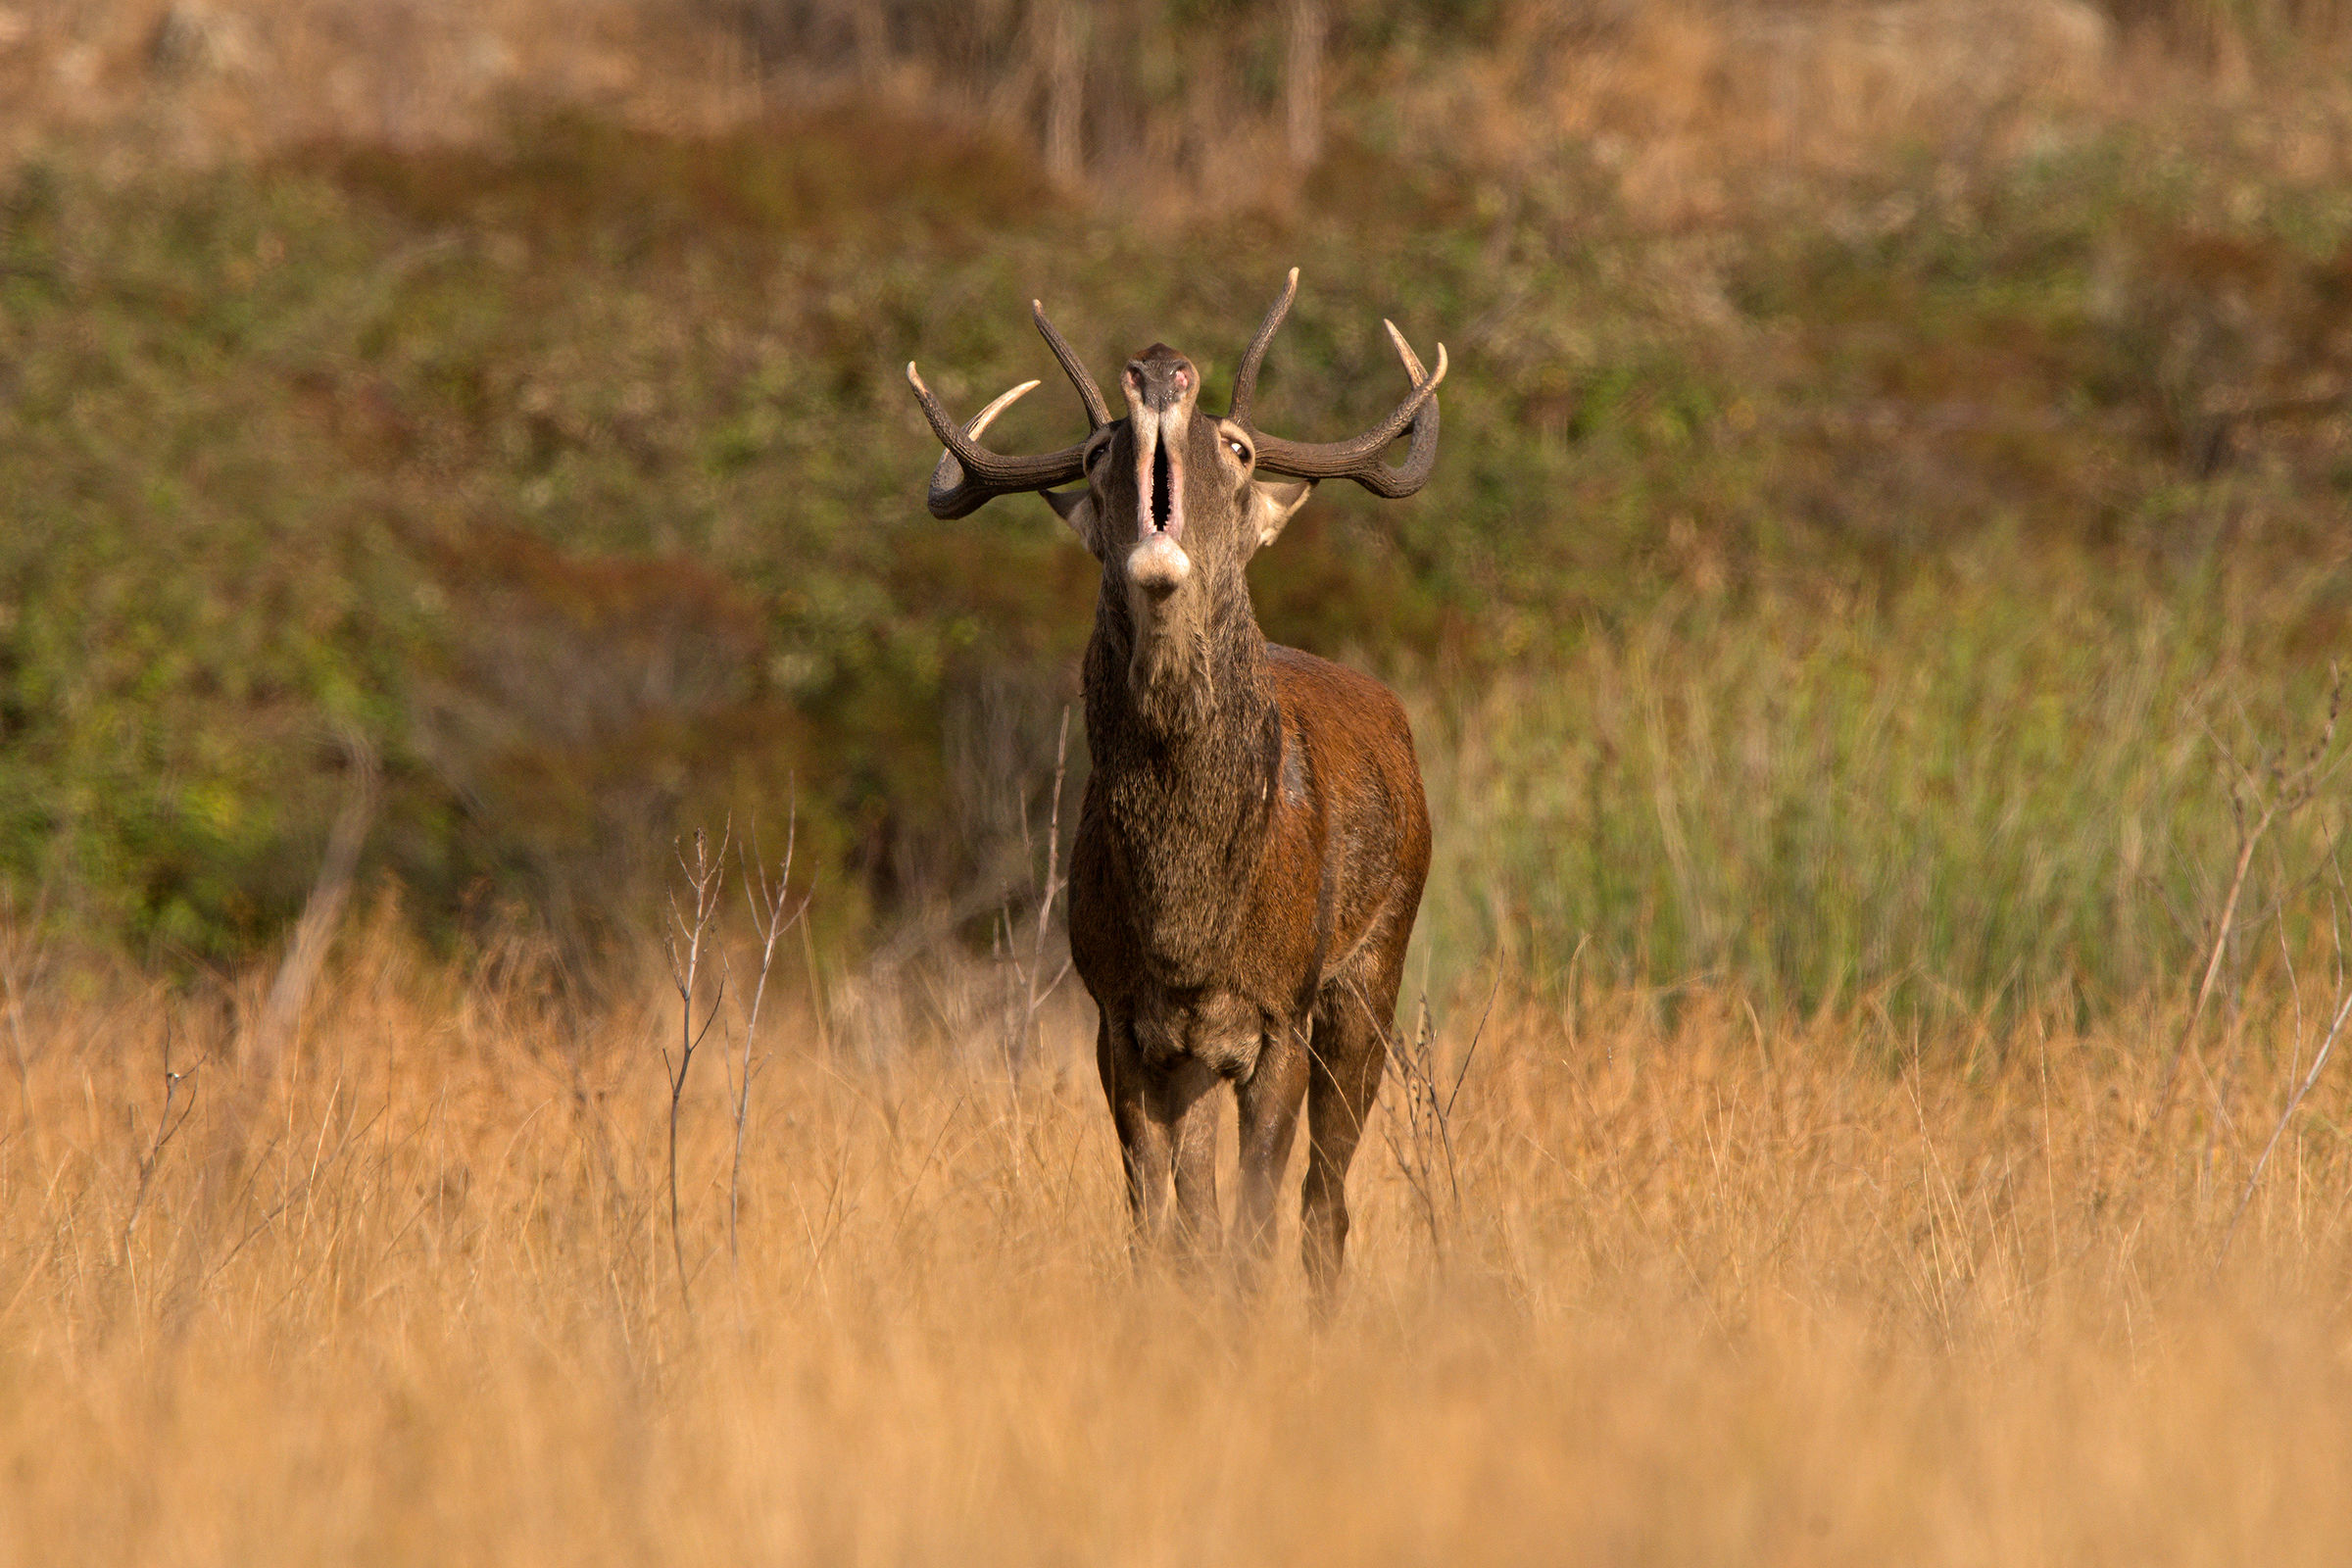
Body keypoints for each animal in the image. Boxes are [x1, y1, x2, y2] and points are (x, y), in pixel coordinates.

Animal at [906, 270, 1443, 1311]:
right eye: (1096, 450)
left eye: (1237, 447)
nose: (1159, 366)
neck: (1188, 924)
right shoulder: (1121, 1018)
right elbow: (1160, 1232)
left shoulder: (1278, 1012)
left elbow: (1253, 1231)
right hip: (1201, 1056)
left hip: (1372, 975)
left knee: (1326, 1206)